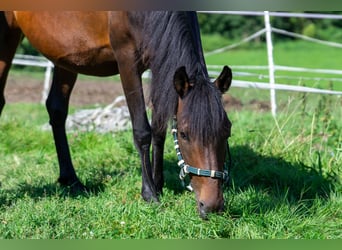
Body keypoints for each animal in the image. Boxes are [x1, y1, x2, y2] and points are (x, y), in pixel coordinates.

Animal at [0, 11, 232, 219]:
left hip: (64, 56)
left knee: (57, 108)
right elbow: (142, 131)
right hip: (8, 38)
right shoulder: (127, 61)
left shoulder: (159, 62)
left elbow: (159, 130)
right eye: (184, 134)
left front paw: (158, 184)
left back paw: (71, 180)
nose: (212, 206)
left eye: (227, 132)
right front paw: (149, 193)